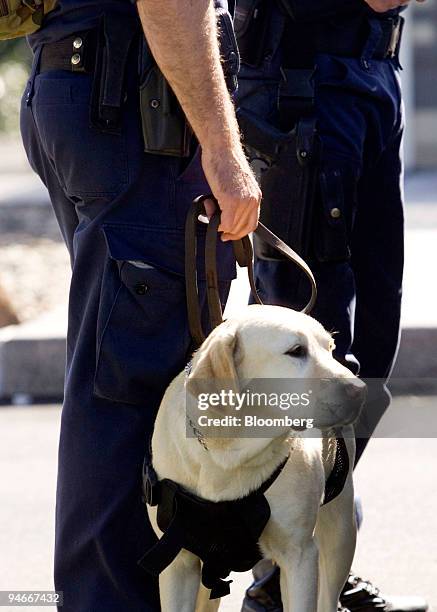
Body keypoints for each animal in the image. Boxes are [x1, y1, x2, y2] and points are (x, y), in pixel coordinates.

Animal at [146, 306, 364, 612]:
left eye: (330, 348)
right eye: (296, 351)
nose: (360, 390)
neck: (230, 453)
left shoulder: (300, 555)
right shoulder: (178, 561)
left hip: (340, 534)